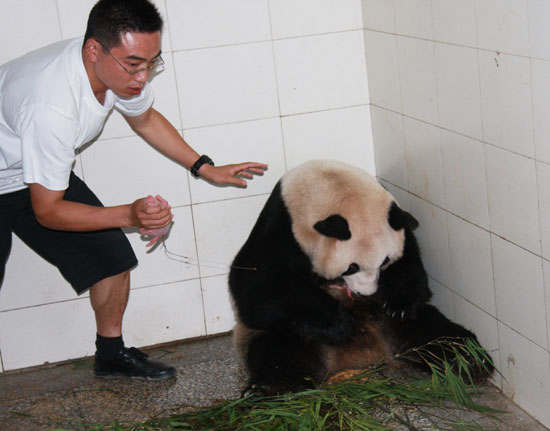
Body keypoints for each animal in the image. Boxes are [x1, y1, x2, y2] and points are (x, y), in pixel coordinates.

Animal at [230, 160, 496, 396]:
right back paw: (274, 388)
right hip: (291, 332)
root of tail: (364, 355)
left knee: (438, 334)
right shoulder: (282, 228)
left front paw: (398, 304)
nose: (367, 293)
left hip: (395, 320)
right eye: (351, 267)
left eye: (385, 261)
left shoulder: (397, 222)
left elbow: (410, 265)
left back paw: (471, 361)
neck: (327, 182)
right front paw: (339, 323)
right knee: (278, 351)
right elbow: (257, 288)